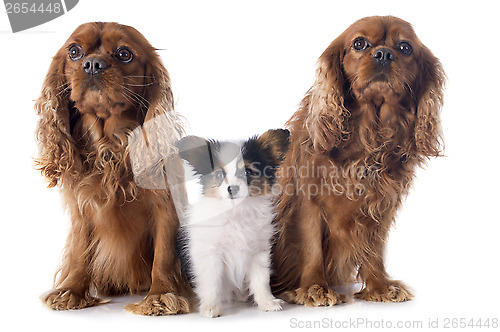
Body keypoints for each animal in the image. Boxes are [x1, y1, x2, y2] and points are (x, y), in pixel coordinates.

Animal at [178, 128, 292, 318]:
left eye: (248, 172)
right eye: (218, 175)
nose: (232, 188)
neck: (236, 211)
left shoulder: (258, 252)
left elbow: (261, 280)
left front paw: (267, 302)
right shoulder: (212, 254)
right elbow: (212, 282)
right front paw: (211, 307)